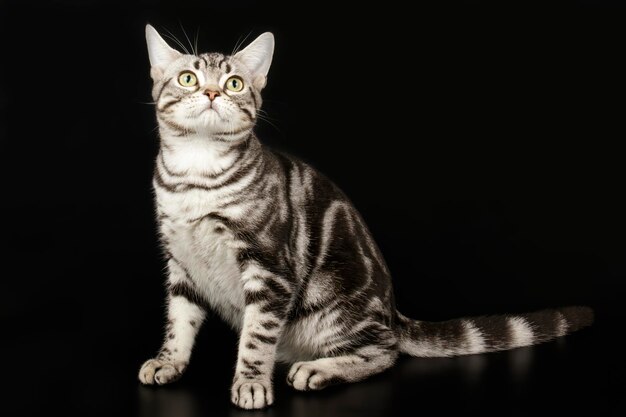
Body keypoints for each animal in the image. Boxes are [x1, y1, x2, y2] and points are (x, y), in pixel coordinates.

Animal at [139, 25, 592, 410]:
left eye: (234, 83)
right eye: (188, 79)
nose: (212, 92)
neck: (194, 178)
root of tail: (391, 311)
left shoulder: (269, 269)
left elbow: (256, 336)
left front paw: (251, 382)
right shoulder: (180, 264)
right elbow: (179, 320)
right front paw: (169, 361)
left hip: (333, 298)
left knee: (384, 350)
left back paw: (318, 370)